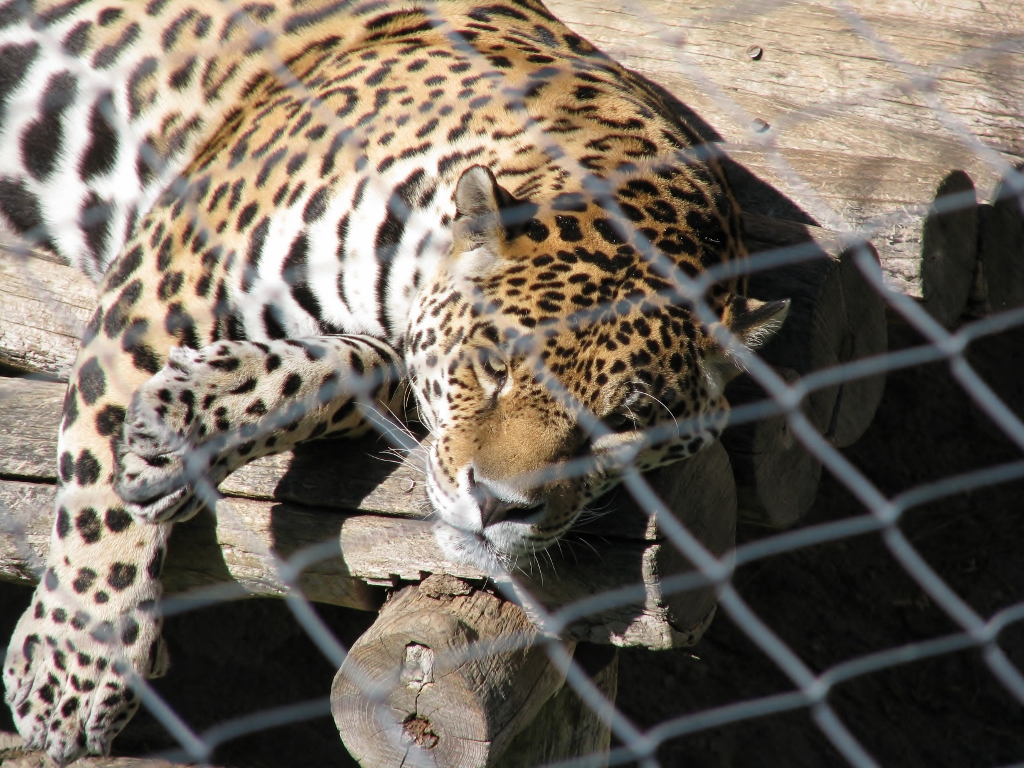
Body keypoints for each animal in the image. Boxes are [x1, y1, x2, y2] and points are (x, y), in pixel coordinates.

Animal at [0, 0, 789, 762]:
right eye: (495, 364)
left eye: (621, 423)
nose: (500, 506)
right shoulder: (174, 269)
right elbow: (100, 480)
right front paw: (73, 670)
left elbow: (341, 365)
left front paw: (186, 419)